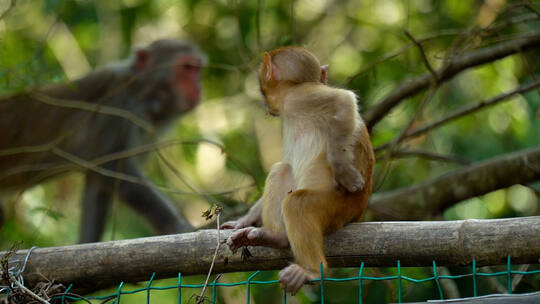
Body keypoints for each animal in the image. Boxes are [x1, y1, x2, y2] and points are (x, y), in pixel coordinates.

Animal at [0, 38, 206, 242]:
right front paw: (177, 226)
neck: (141, 92)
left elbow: (98, 185)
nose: (198, 89)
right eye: (187, 67)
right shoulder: (116, 108)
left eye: (197, 69)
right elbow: (114, 168)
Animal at [221, 47, 374, 294]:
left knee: (297, 203)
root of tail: (358, 213)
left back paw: (311, 270)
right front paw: (243, 221)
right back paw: (275, 237)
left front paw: (345, 173)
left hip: (339, 207)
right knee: (281, 170)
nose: (266, 106)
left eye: (263, 89)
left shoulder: (299, 97)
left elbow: (343, 100)